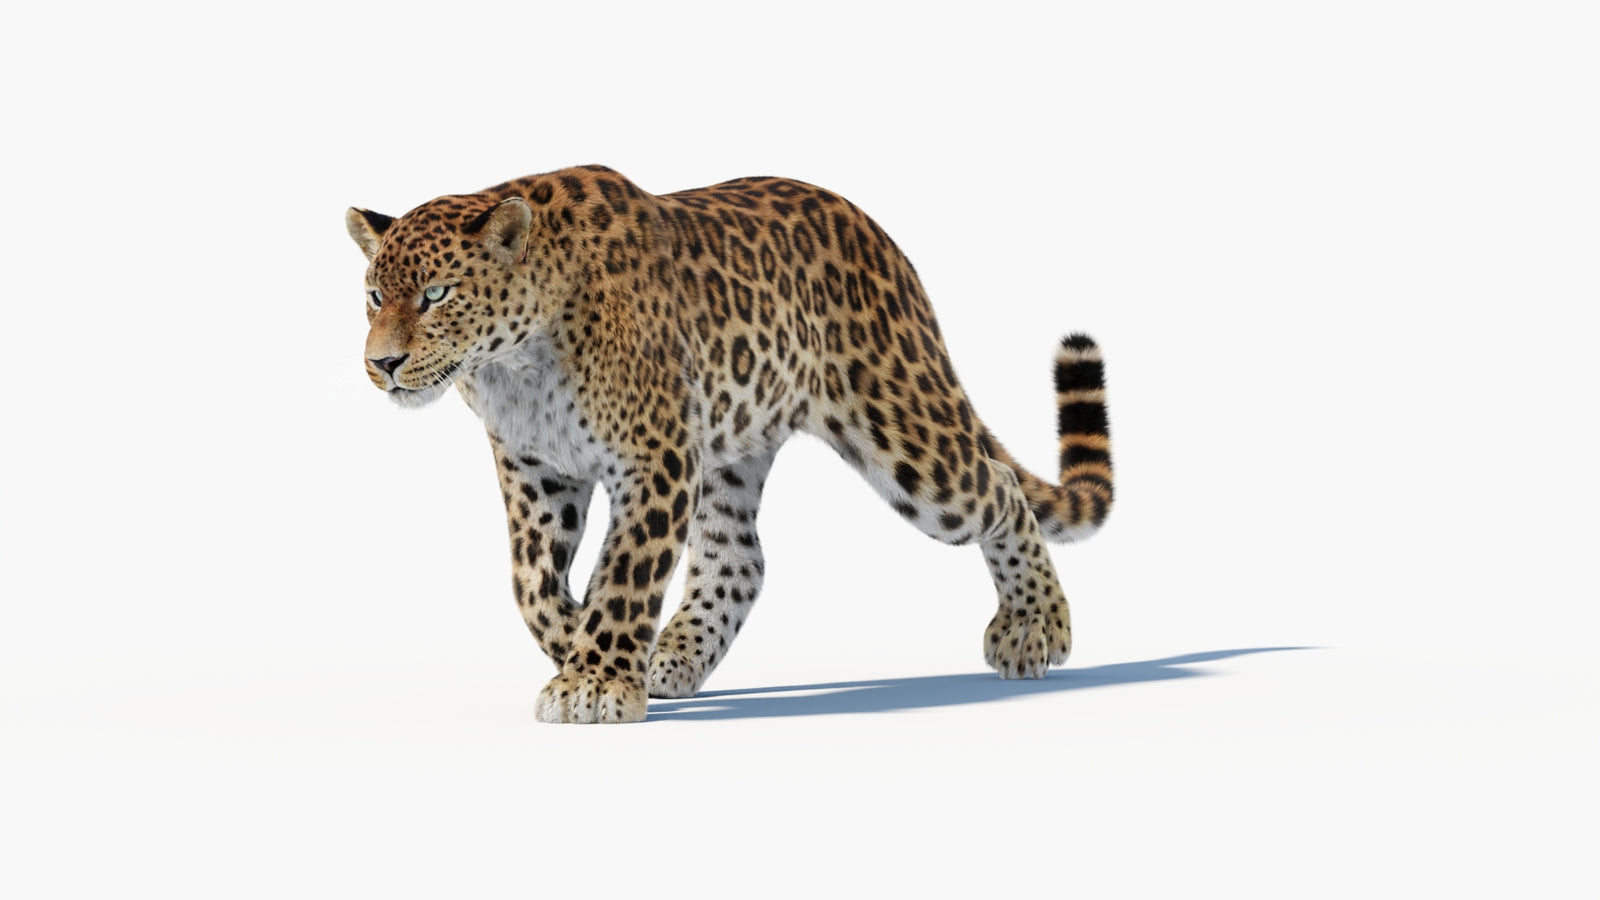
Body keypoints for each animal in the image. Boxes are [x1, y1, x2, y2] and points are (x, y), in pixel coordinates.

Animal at [346, 165, 1114, 724]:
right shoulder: (536, 470)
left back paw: (1036, 628)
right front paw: (587, 651)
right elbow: (531, 582)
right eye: (375, 296)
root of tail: (877, 233)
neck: (515, 361)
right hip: (732, 447)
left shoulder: (653, 457)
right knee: (738, 558)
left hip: (905, 434)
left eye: (438, 294)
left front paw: (595, 679)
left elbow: (624, 572)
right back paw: (674, 657)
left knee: (999, 489)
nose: (382, 363)